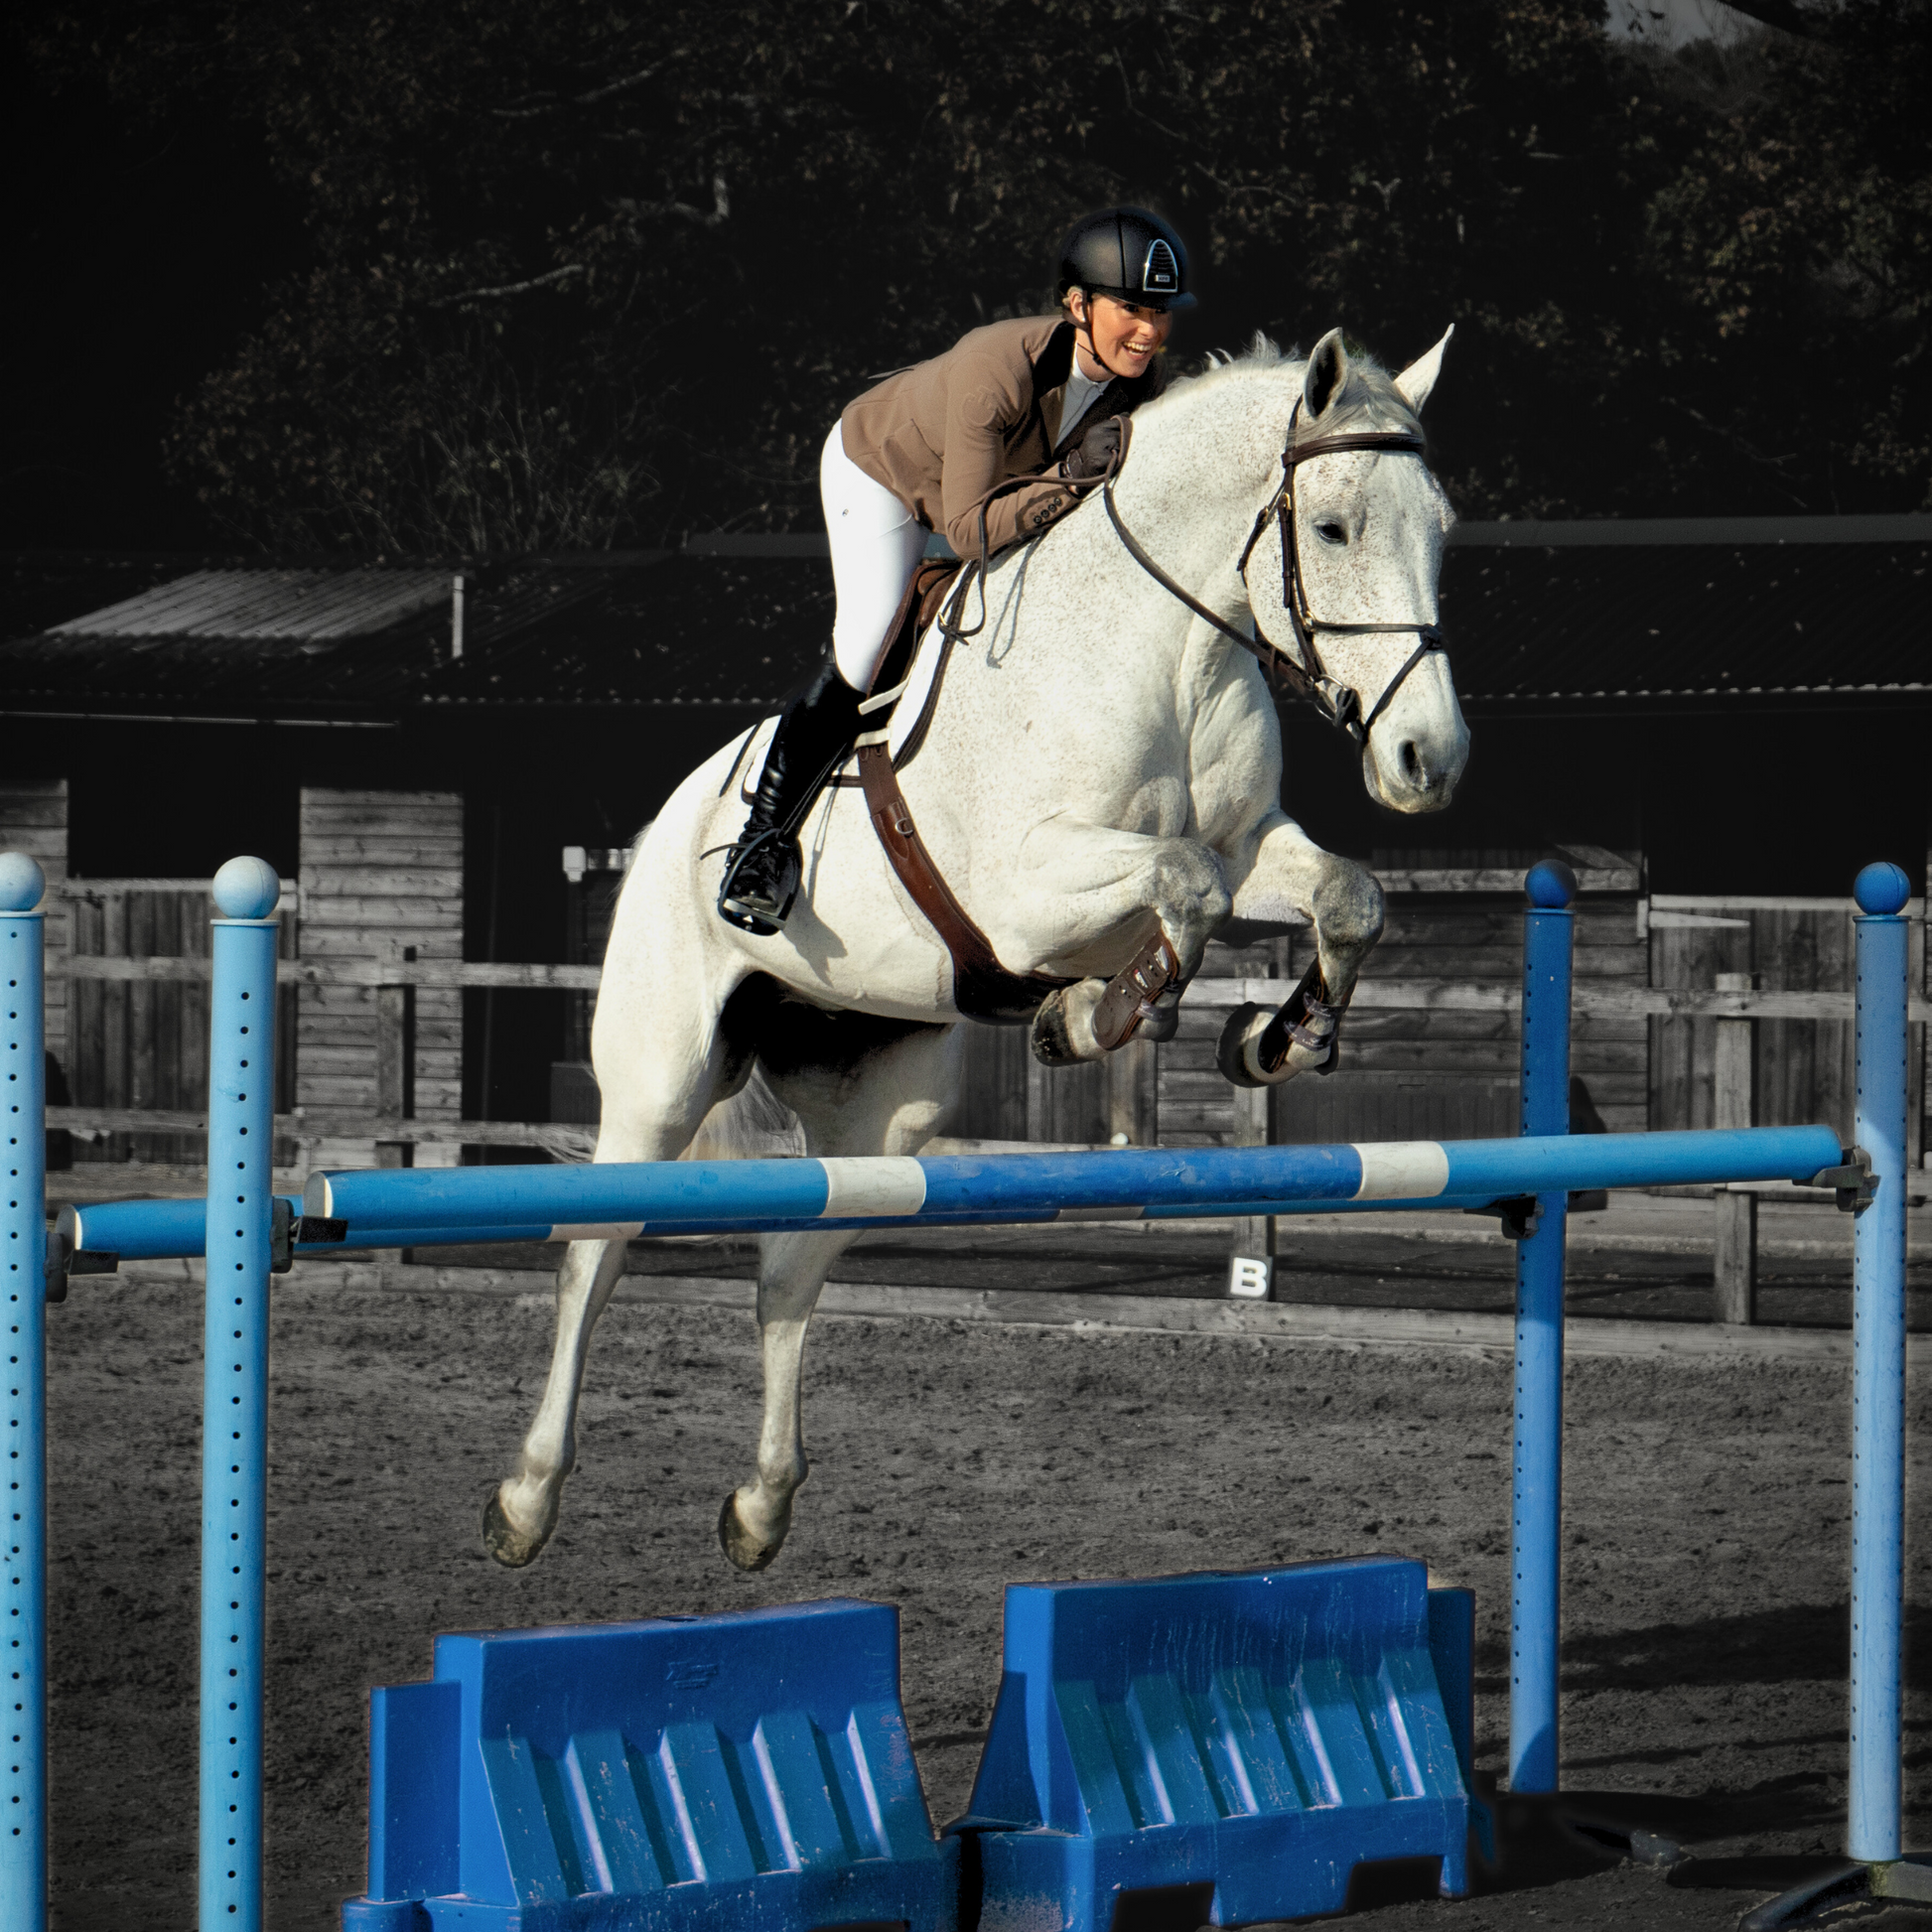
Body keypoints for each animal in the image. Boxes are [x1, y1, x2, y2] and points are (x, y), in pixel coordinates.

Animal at [479, 328, 1460, 1569]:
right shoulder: (1025, 894)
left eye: (1440, 527)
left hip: (882, 1107)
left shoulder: (1248, 847)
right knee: (593, 1251)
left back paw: (759, 1506)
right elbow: (1177, 885)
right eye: (1330, 527)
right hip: (658, 1078)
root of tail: (667, 823)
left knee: (787, 1272)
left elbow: (1345, 895)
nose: (1428, 758)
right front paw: (1090, 1014)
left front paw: (1272, 1040)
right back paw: (526, 1497)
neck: (1167, 649)